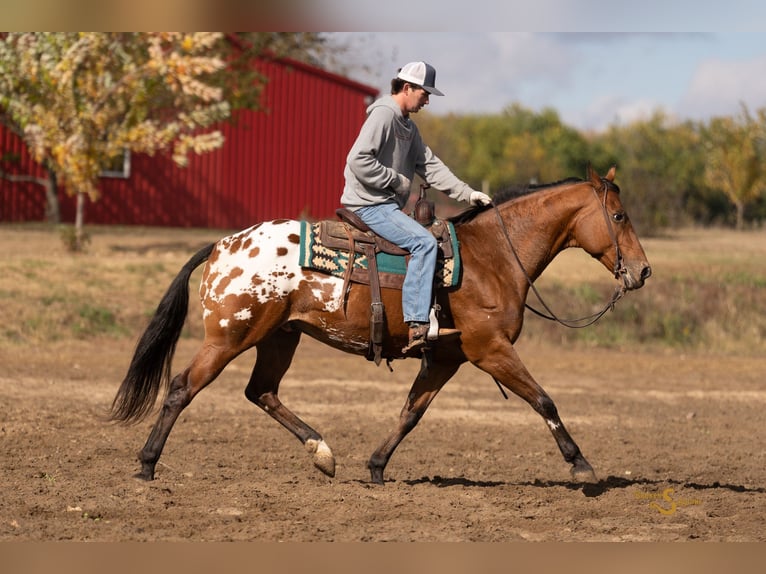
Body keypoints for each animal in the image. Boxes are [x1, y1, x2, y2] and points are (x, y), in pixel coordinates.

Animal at [109, 164, 651, 485]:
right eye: (619, 216)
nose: (642, 270)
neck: (493, 255)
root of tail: (222, 245)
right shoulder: (490, 349)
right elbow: (543, 399)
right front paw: (581, 464)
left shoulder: (447, 358)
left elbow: (411, 412)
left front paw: (376, 467)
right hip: (229, 337)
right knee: (183, 387)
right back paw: (147, 464)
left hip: (279, 338)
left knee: (261, 392)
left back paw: (323, 453)